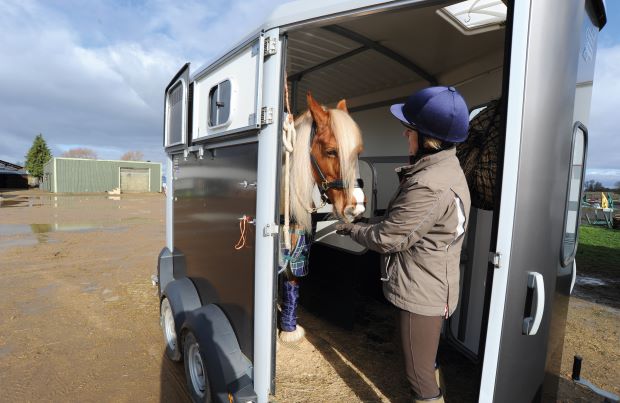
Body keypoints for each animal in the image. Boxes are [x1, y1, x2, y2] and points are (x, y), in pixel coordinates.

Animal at [280, 92, 364, 344]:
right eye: (330, 151)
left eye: (358, 153)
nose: (356, 208)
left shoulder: (298, 242)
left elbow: (292, 278)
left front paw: (289, 329)